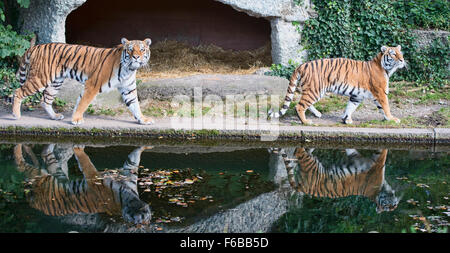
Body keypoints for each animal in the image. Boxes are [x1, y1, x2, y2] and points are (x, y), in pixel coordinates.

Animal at [12, 37, 153, 124]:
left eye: (142, 49)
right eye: (130, 49)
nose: (136, 57)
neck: (129, 69)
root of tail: (36, 47)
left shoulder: (128, 89)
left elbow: (135, 105)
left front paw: (143, 119)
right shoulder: (92, 85)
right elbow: (83, 103)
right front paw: (77, 120)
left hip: (56, 82)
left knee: (45, 100)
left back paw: (55, 116)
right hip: (40, 79)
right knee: (18, 92)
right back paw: (16, 115)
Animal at [14, 143, 152, 224]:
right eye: (142, 215)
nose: (143, 216)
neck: (128, 196)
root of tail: (31, 201)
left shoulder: (100, 178)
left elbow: (132, 159)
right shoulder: (99, 177)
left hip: (52, 174)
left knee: (41, 154)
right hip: (41, 174)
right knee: (22, 162)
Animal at [268, 46, 406, 125]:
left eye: (401, 53)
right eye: (393, 54)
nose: (402, 60)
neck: (386, 68)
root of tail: (301, 65)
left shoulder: (357, 96)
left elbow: (350, 107)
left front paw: (346, 119)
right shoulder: (381, 92)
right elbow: (386, 107)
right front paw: (392, 119)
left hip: (313, 90)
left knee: (305, 103)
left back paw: (317, 114)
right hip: (315, 90)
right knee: (299, 106)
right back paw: (306, 122)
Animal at [268, 147, 400, 212]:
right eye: (391, 206)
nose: (395, 203)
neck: (377, 194)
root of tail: (302, 187)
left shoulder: (360, 158)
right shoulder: (373, 161)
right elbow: (384, 152)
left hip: (309, 162)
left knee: (298, 152)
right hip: (309, 161)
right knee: (298, 151)